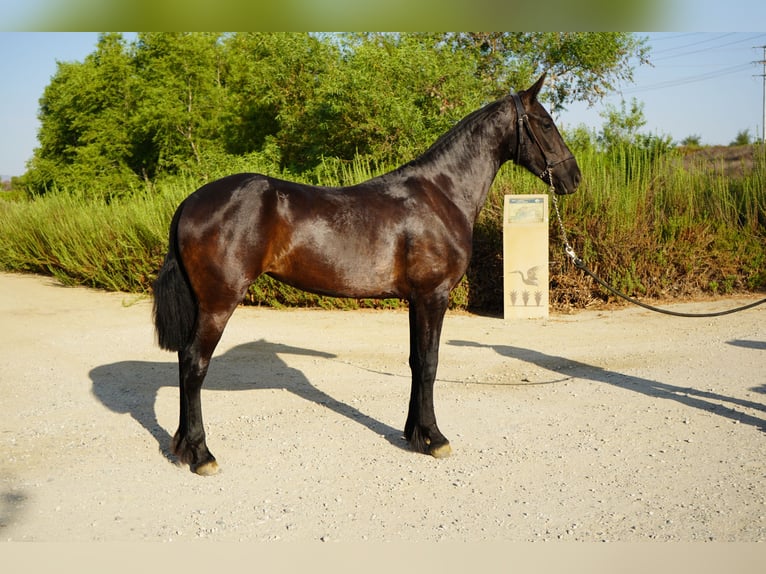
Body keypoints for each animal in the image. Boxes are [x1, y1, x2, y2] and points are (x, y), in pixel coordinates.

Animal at [153, 73, 581, 475]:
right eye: (545, 123)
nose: (573, 177)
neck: (441, 193)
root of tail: (190, 202)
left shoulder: (416, 300)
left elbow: (416, 361)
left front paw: (414, 435)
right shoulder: (434, 295)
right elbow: (430, 363)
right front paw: (436, 439)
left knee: (185, 363)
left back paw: (184, 448)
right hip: (218, 303)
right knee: (194, 363)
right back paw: (201, 454)